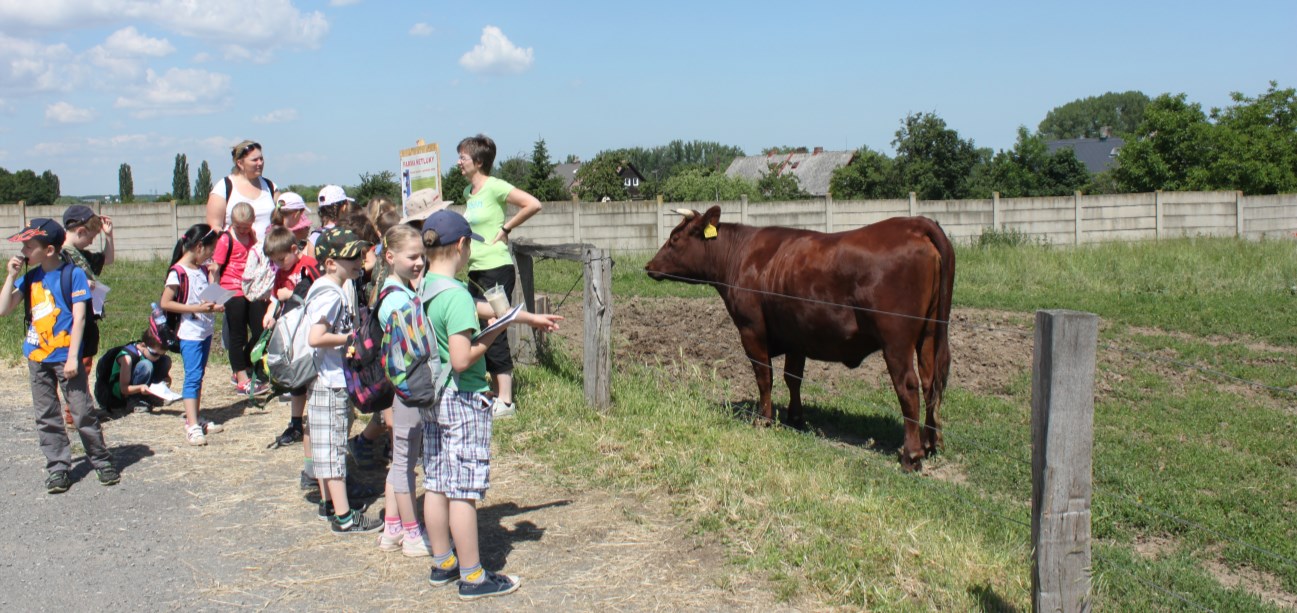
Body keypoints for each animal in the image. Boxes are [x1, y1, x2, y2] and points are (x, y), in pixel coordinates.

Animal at [645, 204, 954, 469]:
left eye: (674, 239)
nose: (649, 266)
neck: (741, 255)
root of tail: (915, 224)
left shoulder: (751, 330)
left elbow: (764, 376)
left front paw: (764, 419)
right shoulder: (796, 333)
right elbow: (793, 377)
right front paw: (795, 418)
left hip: (896, 341)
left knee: (908, 386)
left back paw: (911, 455)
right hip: (929, 333)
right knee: (931, 383)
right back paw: (931, 442)